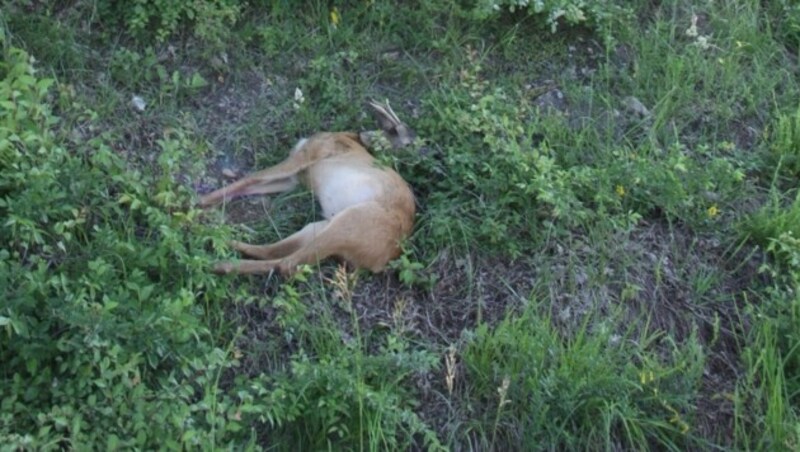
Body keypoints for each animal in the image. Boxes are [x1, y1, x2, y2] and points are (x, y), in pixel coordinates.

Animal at [199, 100, 416, 276]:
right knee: (275, 251)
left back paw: (219, 263)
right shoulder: (296, 179)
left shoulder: (307, 155)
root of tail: (385, 258)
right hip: (321, 226)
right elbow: (250, 185)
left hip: (352, 222)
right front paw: (205, 207)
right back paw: (217, 234)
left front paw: (196, 203)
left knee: (287, 264)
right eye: (395, 131)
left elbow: (252, 177)